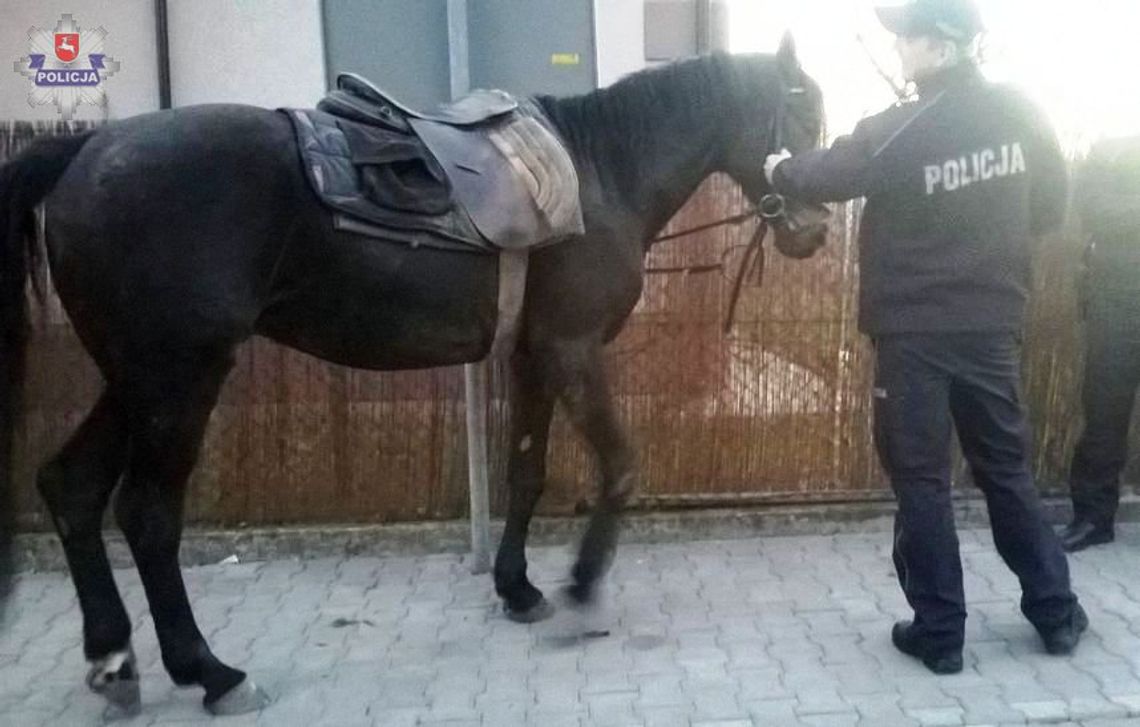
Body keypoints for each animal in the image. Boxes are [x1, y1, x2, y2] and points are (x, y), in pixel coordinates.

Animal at [0, 39, 825, 720]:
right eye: (805, 113)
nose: (814, 232)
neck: (598, 176)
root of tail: (87, 148)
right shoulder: (573, 349)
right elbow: (619, 464)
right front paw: (583, 580)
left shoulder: (533, 354)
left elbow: (526, 471)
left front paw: (518, 587)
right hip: (179, 379)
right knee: (146, 515)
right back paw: (210, 670)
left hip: (134, 379)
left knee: (72, 487)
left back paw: (115, 659)